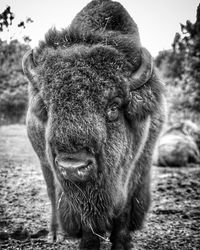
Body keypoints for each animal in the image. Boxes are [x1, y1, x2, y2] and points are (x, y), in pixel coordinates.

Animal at [21, 0, 166, 250]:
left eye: (113, 107)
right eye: (48, 107)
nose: (72, 166)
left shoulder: (132, 173)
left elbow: (123, 213)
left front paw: (121, 243)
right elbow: (88, 222)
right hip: (45, 165)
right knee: (52, 194)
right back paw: (55, 234)